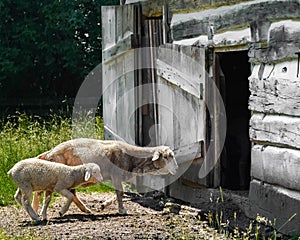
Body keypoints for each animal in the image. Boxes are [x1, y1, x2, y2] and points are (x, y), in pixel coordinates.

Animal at [34, 138, 178, 215]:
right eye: (166, 157)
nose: (176, 169)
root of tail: (49, 153)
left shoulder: (116, 177)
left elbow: (120, 193)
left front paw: (104, 205)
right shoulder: (116, 175)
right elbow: (120, 193)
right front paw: (122, 210)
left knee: (41, 193)